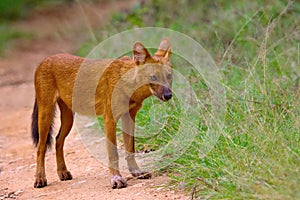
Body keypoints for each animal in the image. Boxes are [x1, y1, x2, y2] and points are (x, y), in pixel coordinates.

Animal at [31, 38, 172, 189]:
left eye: (169, 76)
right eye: (153, 77)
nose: (168, 95)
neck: (127, 84)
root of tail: (44, 60)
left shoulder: (129, 116)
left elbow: (130, 148)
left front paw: (136, 173)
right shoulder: (109, 118)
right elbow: (113, 153)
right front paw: (116, 179)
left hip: (68, 118)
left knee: (58, 140)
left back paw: (63, 172)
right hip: (45, 113)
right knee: (41, 147)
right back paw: (40, 179)